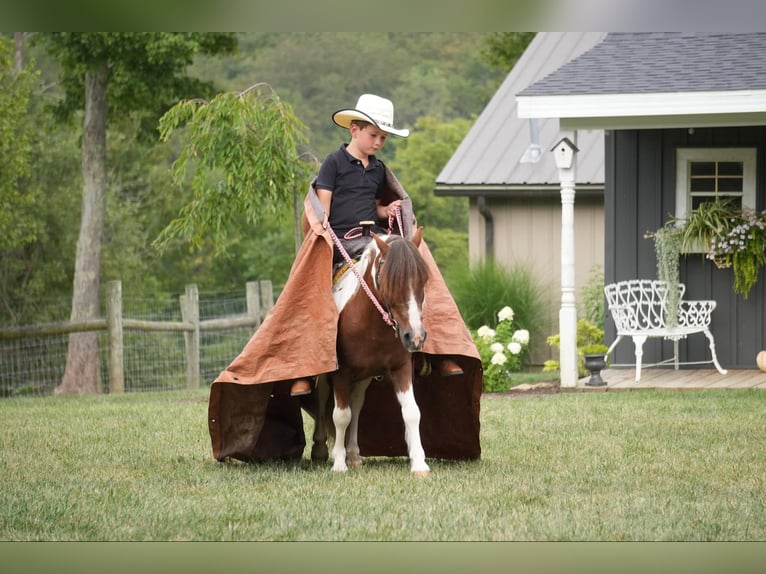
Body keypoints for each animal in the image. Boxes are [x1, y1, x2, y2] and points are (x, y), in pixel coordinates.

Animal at [312, 230, 432, 476]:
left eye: (423, 280)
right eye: (389, 280)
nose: (415, 337)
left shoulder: (401, 368)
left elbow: (411, 412)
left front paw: (419, 464)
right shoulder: (341, 372)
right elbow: (341, 416)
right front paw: (339, 463)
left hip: (364, 376)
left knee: (357, 406)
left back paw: (354, 454)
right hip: (327, 374)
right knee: (322, 400)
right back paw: (321, 449)